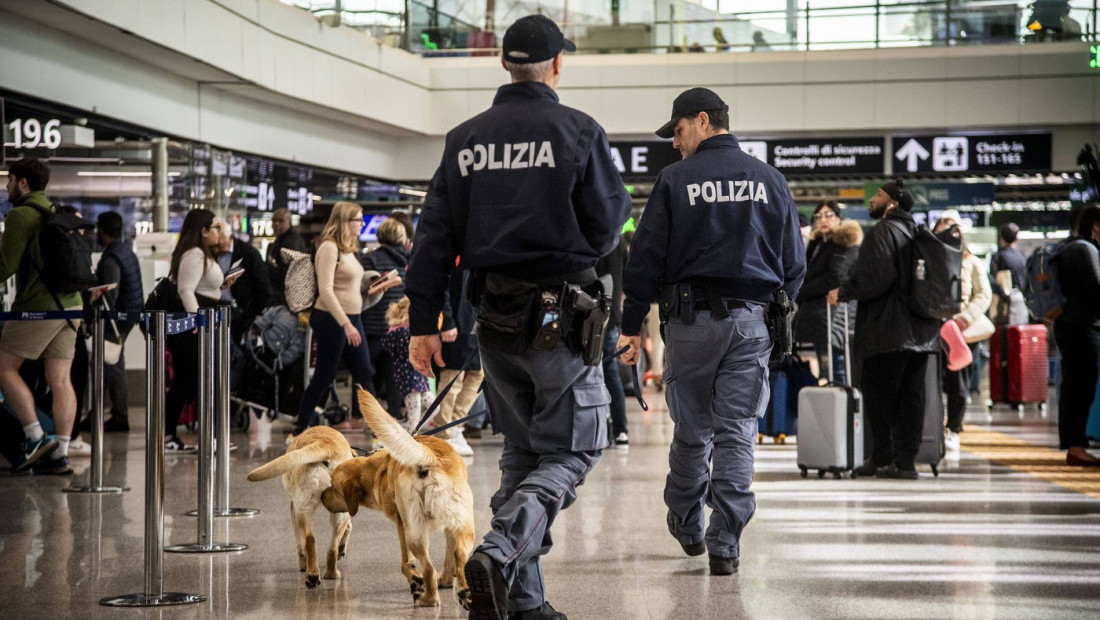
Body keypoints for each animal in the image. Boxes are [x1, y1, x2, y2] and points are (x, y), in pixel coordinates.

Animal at [247, 426, 354, 584]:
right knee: (331, 547)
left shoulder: (293, 507)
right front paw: (342, 547)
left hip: (303, 510)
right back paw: (330, 573)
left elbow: (299, 543)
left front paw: (303, 564)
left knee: (309, 539)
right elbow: (348, 527)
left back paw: (312, 575)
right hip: (334, 512)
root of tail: (325, 444)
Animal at [319, 389, 473, 606]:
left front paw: (416, 580)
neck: (376, 471)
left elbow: (406, 563)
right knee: (460, 555)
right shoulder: (449, 528)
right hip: (462, 525)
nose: (321, 495)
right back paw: (462, 590)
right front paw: (446, 580)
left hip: (414, 532)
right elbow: (449, 557)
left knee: (428, 568)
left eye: (333, 485)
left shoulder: (401, 524)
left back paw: (428, 598)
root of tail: (430, 458)